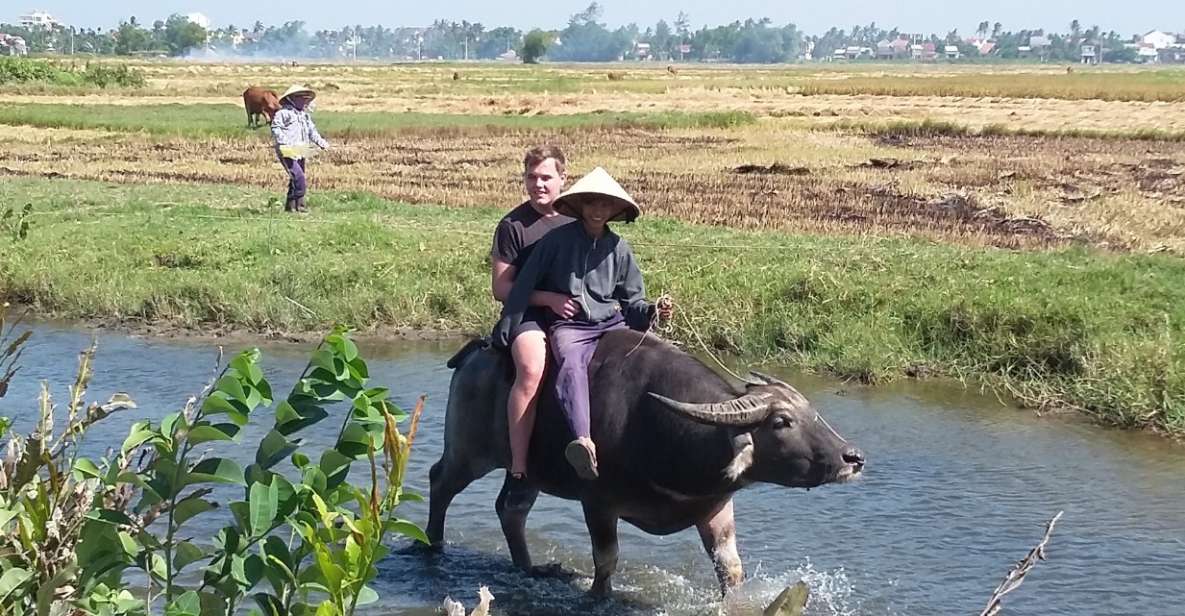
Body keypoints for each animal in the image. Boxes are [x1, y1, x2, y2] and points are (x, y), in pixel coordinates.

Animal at [426, 331, 862, 597]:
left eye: (811, 411)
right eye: (781, 422)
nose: (852, 458)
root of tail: (474, 354)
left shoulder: (715, 508)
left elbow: (731, 568)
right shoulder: (597, 503)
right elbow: (607, 559)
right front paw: (598, 596)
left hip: (526, 469)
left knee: (510, 509)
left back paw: (531, 568)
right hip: (469, 452)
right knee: (440, 481)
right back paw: (432, 544)